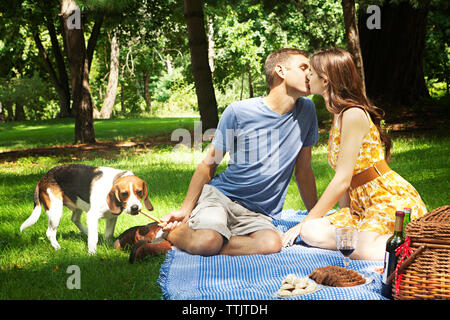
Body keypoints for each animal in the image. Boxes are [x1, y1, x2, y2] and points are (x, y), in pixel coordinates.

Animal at [19, 164, 153, 254]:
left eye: (139, 192)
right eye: (124, 194)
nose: (135, 208)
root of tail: (43, 178)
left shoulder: (111, 217)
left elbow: (108, 234)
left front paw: (108, 246)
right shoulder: (92, 216)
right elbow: (94, 238)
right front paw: (92, 253)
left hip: (77, 205)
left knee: (75, 219)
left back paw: (86, 232)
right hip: (55, 211)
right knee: (50, 232)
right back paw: (58, 248)